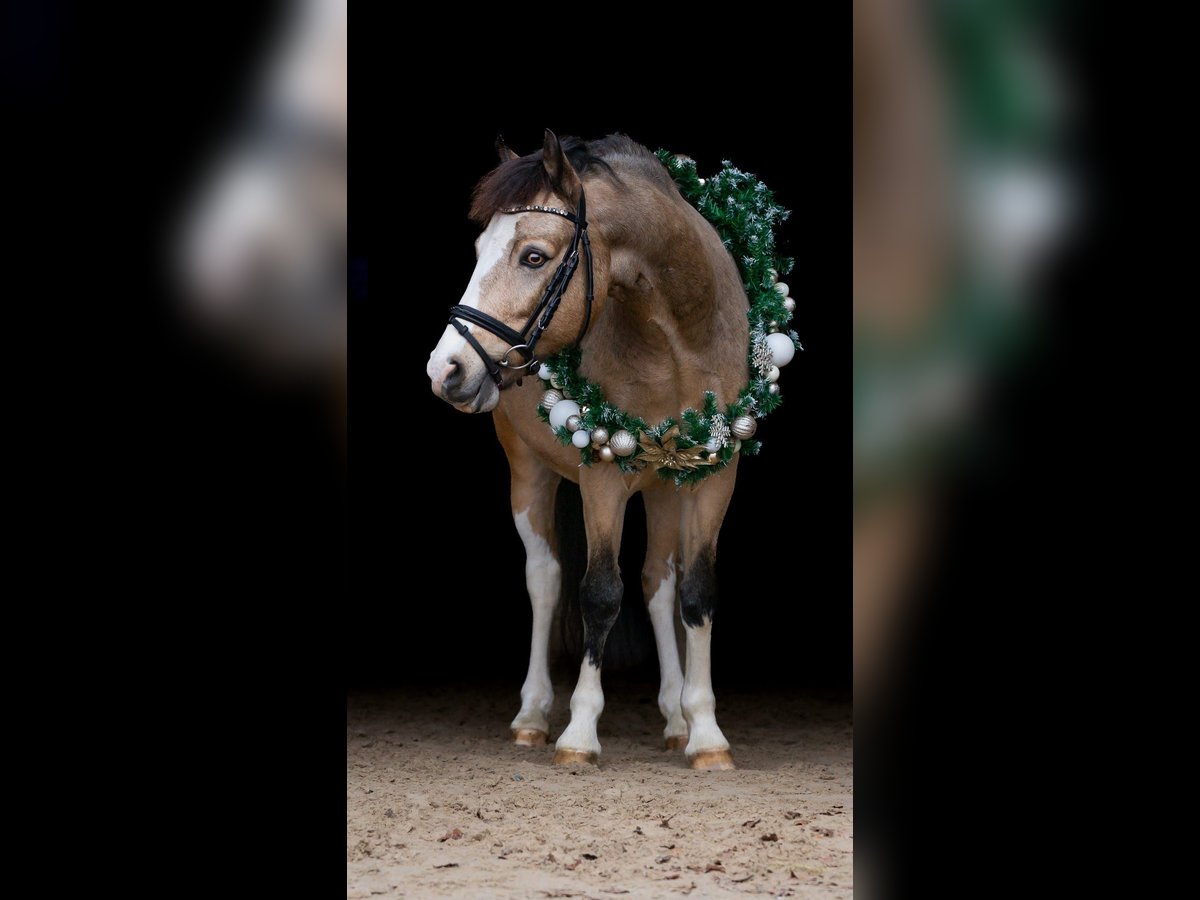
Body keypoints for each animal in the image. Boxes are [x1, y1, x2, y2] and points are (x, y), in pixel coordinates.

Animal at [424, 130, 748, 772]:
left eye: (533, 256)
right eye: (477, 248)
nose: (446, 369)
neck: (677, 340)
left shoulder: (713, 475)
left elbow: (696, 594)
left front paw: (705, 734)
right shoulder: (602, 475)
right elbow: (598, 593)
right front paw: (579, 733)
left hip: (664, 484)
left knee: (657, 583)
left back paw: (674, 718)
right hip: (529, 474)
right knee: (546, 580)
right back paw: (531, 716)